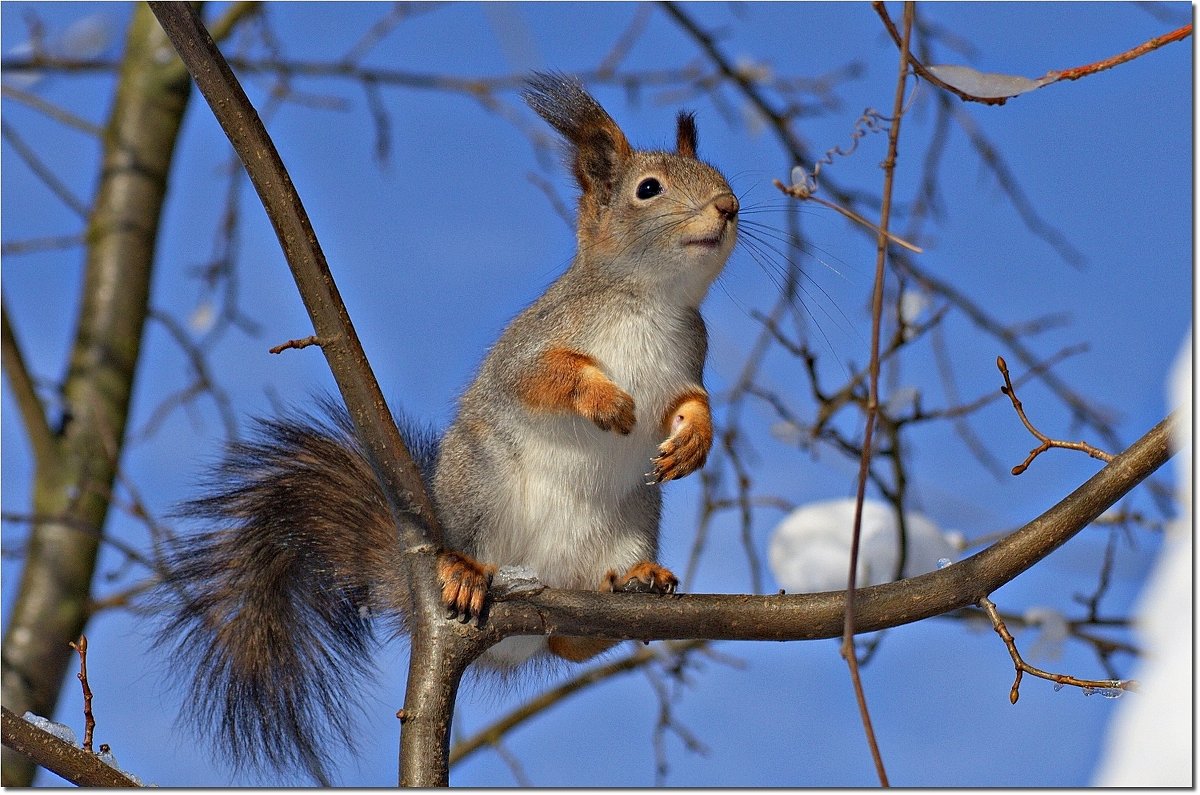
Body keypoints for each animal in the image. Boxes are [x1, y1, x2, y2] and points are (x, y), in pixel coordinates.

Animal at [157, 73, 739, 782]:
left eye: (719, 176)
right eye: (648, 189)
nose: (729, 206)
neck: (652, 299)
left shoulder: (690, 357)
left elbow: (693, 402)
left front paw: (694, 441)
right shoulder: (535, 343)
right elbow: (543, 379)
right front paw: (606, 404)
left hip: (632, 521)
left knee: (571, 645)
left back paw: (633, 582)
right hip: (481, 484)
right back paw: (464, 571)